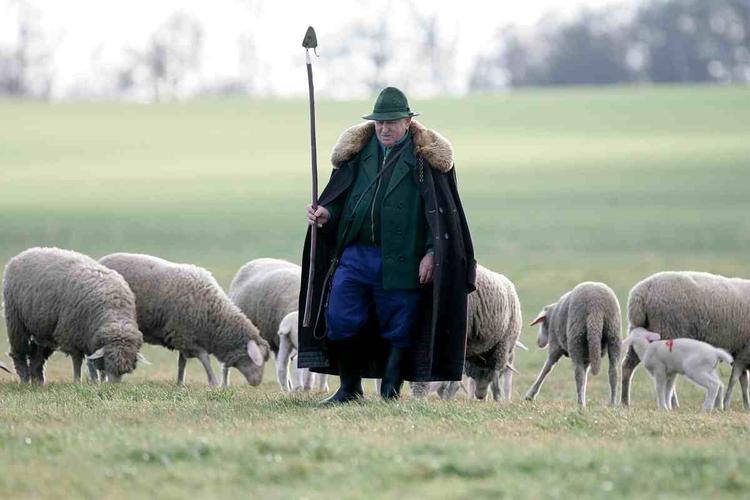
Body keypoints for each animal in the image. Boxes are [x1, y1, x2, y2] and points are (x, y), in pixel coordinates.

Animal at [2, 247, 145, 382]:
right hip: (15, 319)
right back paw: (25, 380)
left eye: (124, 371)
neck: (114, 310)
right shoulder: (71, 335)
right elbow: (77, 360)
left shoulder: (89, 337)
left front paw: (97, 381)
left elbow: (92, 362)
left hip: (43, 329)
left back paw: (38, 382)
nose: (113, 386)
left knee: (36, 359)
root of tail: (23, 253)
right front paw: (77, 380)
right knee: (19, 353)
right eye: (109, 360)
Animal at [95, 254, 268, 386]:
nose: (257, 382)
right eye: (255, 359)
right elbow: (204, 358)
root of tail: (101, 259)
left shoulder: (183, 338)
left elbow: (182, 363)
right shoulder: (185, 336)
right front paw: (213, 382)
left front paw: (180, 383)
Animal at [412, 266, 524, 402]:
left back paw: (495, 399)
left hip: (503, 344)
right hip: (477, 355)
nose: (480, 395)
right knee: (481, 375)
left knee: (494, 376)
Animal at [624, 272, 750, 408]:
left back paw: (624, 401)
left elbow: (743, 381)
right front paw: (728, 405)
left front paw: (745, 405)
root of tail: (641, 294)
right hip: (666, 330)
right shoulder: (744, 353)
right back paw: (673, 404)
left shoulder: (742, 355)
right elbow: (736, 379)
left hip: (641, 330)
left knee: (627, 366)